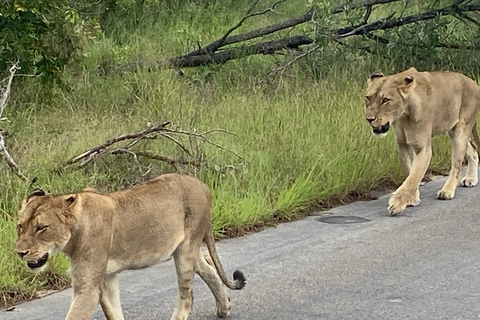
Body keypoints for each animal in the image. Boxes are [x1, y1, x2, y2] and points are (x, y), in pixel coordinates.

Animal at [14, 174, 248, 318]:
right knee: (208, 268)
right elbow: (114, 313)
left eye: (41, 228)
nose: (19, 252)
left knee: (187, 295)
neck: (75, 232)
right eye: (20, 226)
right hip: (183, 248)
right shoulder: (107, 278)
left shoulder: (88, 286)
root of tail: (203, 186)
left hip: (186, 250)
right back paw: (224, 306)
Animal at [364, 68, 480, 216]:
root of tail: (473, 82)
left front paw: (398, 203)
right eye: (368, 98)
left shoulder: (423, 148)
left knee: (456, 165)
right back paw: (471, 179)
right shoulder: (403, 144)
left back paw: (447, 191)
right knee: (473, 149)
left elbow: (414, 176)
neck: (403, 115)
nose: (369, 119)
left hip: (461, 130)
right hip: (453, 131)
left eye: (385, 100)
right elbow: (410, 172)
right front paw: (412, 198)